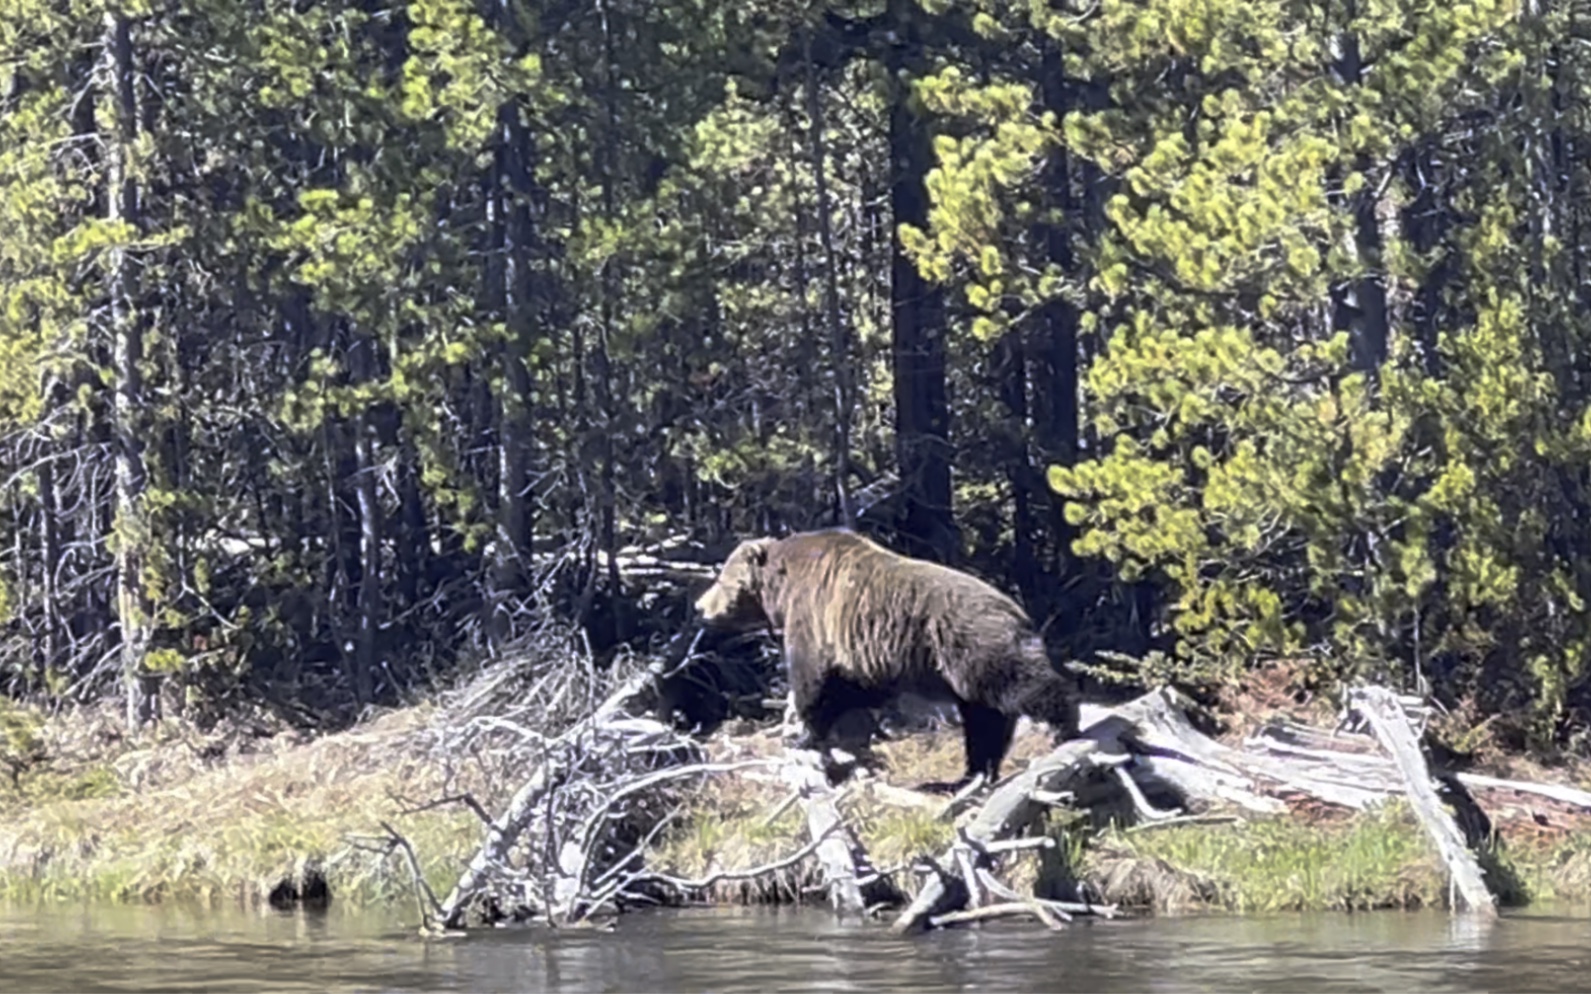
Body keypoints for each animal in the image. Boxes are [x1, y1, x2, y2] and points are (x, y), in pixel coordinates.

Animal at [693, 524, 1081, 785]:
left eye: (720, 579)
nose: (700, 607)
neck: (781, 588)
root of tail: (1020, 613)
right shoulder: (861, 652)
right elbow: (854, 687)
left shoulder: (812, 615)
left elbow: (812, 680)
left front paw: (802, 734)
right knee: (984, 718)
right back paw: (971, 774)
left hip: (972, 645)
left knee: (1017, 685)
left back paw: (1065, 725)